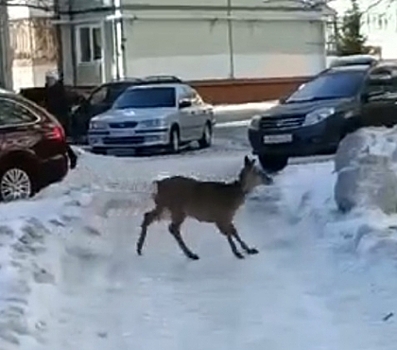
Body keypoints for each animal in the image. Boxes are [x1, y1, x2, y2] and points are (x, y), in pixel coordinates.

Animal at [136, 156, 272, 260]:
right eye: (259, 172)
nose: (270, 179)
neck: (232, 195)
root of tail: (158, 184)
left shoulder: (227, 217)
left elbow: (234, 232)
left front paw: (249, 249)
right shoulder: (221, 215)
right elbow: (229, 233)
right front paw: (237, 253)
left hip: (164, 206)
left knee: (148, 216)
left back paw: (139, 248)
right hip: (176, 208)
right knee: (172, 228)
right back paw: (191, 254)